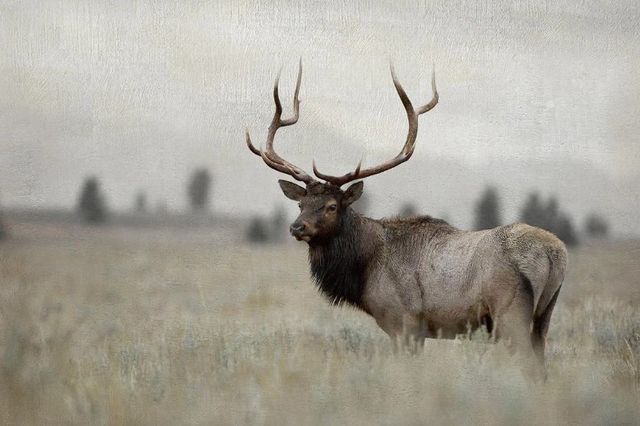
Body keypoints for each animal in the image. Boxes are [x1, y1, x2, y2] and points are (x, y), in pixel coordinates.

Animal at [245, 60, 567, 371]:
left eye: (332, 206)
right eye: (301, 204)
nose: (297, 227)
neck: (365, 267)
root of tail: (554, 253)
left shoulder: (404, 321)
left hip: (510, 312)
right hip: (544, 315)